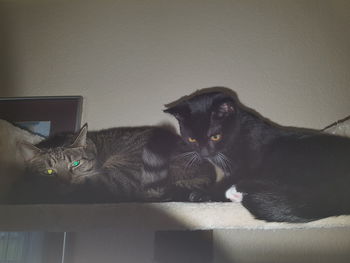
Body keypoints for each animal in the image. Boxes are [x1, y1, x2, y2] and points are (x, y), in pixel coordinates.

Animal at [165, 88, 350, 223]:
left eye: (215, 136)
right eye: (192, 139)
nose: (204, 153)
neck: (237, 135)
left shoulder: (248, 164)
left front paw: (203, 194)